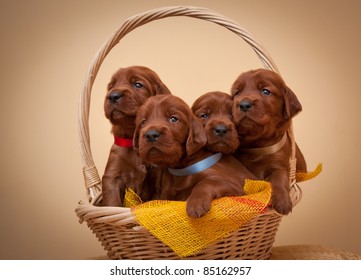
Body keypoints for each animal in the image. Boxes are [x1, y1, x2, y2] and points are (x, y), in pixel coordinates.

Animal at [100, 65, 169, 206]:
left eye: (137, 84)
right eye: (111, 86)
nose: (112, 96)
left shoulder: (158, 178)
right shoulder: (112, 177)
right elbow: (112, 203)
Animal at [232, 69, 306, 214]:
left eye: (265, 91)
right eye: (237, 93)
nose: (243, 104)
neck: (256, 145)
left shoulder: (280, 163)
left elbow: (279, 177)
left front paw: (283, 201)